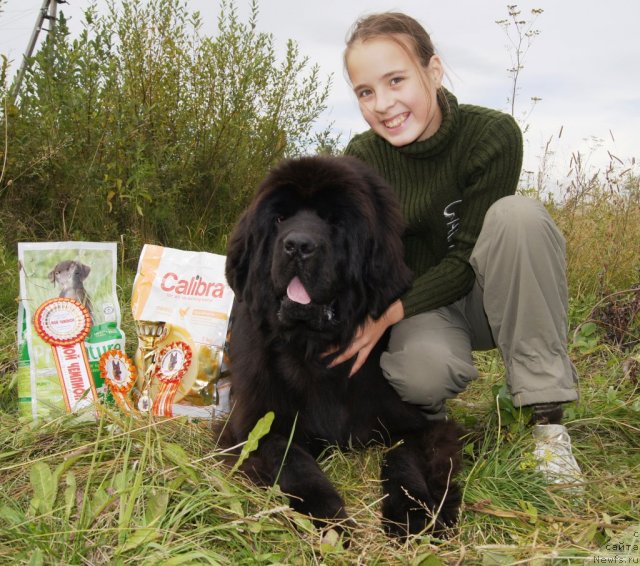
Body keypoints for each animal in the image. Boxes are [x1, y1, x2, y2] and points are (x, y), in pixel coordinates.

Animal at [222, 158, 462, 540]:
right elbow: (294, 464)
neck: (316, 349)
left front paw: (414, 513)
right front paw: (330, 521)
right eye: (279, 218)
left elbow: (404, 459)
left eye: (335, 221)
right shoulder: (256, 425)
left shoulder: (421, 425)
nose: (298, 245)